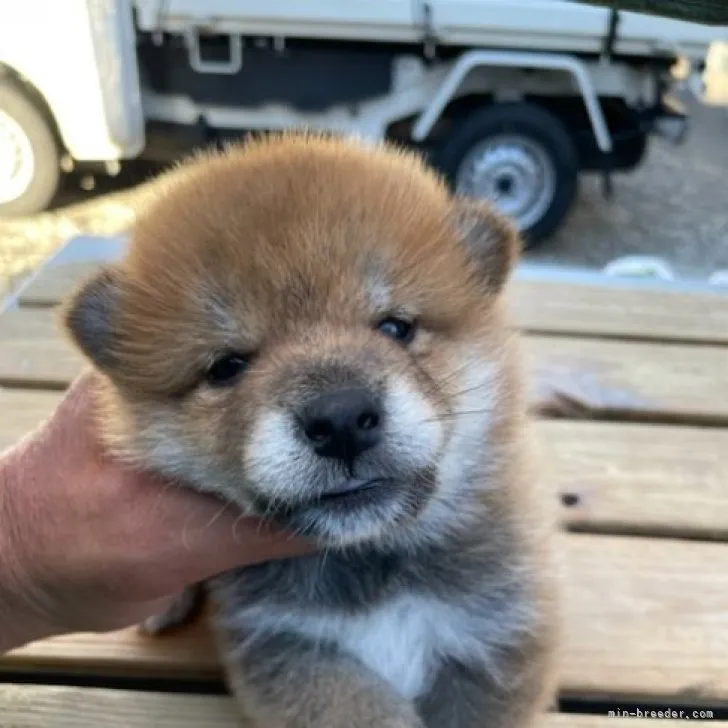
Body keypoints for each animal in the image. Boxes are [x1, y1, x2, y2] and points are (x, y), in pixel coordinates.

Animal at [61, 132, 556, 728]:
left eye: (395, 327)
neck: (372, 563)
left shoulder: (497, 632)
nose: (340, 420)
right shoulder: (289, 646)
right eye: (227, 367)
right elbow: (363, 708)